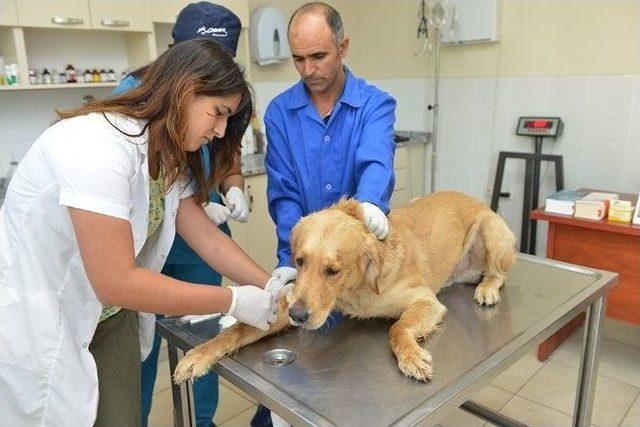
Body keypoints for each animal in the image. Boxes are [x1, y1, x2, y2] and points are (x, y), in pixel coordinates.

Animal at [172, 191, 516, 384]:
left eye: (332, 271)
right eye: (299, 261)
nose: (297, 316)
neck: (355, 289)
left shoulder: (426, 301)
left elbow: (398, 328)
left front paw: (410, 356)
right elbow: (237, 331)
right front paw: (200, 354)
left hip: (491, 232)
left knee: (498, 273)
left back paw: (487, 288)